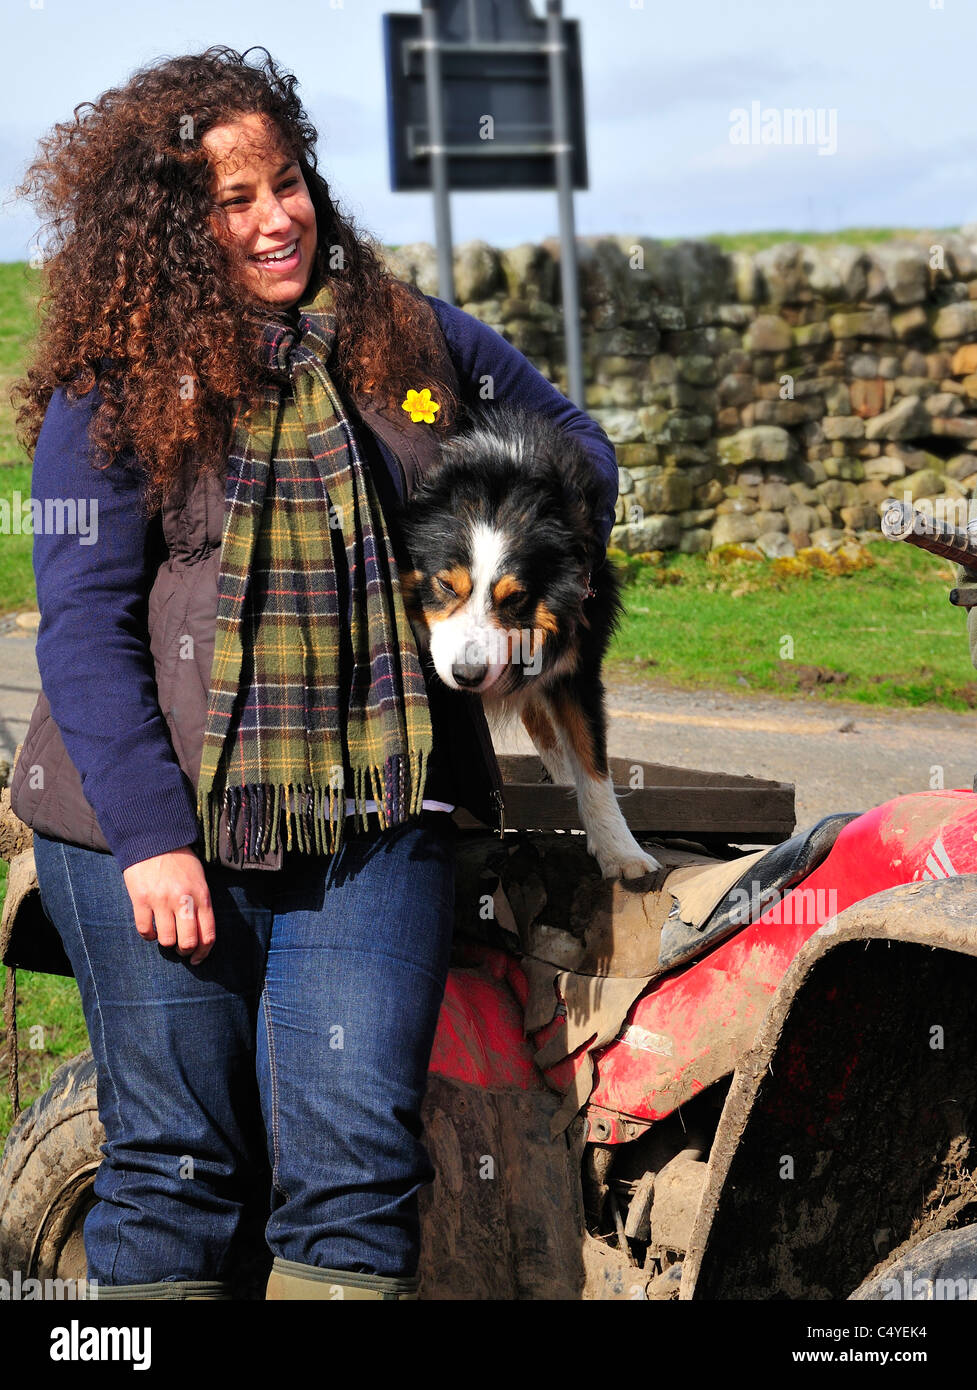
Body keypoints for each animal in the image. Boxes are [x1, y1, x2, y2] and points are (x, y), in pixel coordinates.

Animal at [400, 405, 664, 878]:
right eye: (446, 585)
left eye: (516, 597)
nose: (467, 676)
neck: (504, 474)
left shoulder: (576, 664)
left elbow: (592, 763)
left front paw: (620, 851)